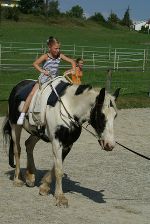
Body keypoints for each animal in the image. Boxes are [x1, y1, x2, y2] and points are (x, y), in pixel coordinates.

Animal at [2, 78, 120, 207]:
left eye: (115, 116)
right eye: (102, 115)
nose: (110, 144)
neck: (69, 109)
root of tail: (18, 86)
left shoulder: (68, 144)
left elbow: (56, 167)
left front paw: (44, 187)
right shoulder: (57, 142)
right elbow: (59, 170)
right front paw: (60, 197)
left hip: (37, 132)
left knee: (29, 145)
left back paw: (30, 176)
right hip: (15, 127)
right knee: (17, 150)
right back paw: (17, 180)